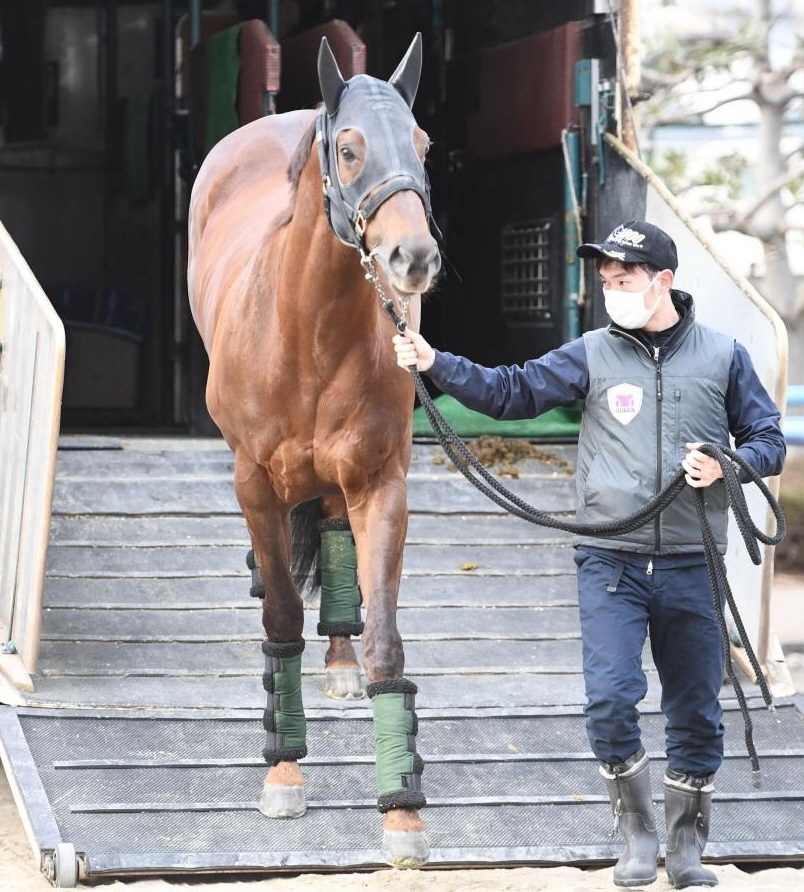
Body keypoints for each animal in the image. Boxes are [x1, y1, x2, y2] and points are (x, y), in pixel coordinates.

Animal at [186, 33, 442, 864]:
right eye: (351, 149)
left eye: (423, 144)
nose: (412, 258)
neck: (308, 332)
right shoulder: (256, 485)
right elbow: (279, 625)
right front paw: (284, 775)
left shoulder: (381, 484)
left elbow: (387, 640)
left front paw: (403, 814)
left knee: (330, 531)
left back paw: (339, 664)